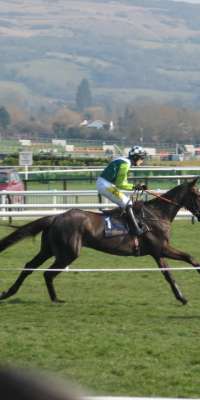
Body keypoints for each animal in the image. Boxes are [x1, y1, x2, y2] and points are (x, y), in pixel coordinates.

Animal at [0, 177, 199, 304]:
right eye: (197, 194)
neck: (156, 214)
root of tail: (56, 217)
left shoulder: (158, 252)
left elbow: (174, 270)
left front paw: (181, 296)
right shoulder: (161, 248)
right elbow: (182, 262)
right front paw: (185, 292)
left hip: (48, 249)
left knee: (29, 267)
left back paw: (8, 293)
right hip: (68, 253)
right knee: (48, 273)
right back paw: (55, 299)